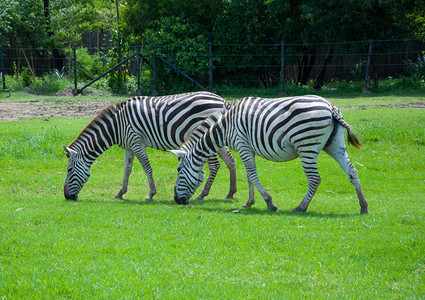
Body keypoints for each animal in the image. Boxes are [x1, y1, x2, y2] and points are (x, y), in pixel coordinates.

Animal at [62, 92, 235, 202]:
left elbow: (146, 167)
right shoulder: (129, 146)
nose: (67, 197)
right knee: (230, 160)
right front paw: (120, 192)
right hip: (216, 136)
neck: (116, 126)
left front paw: (150, 194)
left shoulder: (136, 142)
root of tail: (221, 100)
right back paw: (231, 192)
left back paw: (202, 194)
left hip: (206, 136)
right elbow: (127, 169)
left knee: (215, 165)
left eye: (69, 170)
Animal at [169, 95, 368, 214]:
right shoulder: (248, 148)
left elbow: (252, 175)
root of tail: (331, 106)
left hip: (306, 145)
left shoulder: (242, 145)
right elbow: (249, 176)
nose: (177, 200)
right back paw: (363, 207)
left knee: (314, 179)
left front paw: (269, 203)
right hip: (335, 145)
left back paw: (301, 207)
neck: (225, 125)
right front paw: (249, 202)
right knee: (352, 171)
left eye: (178, 170)